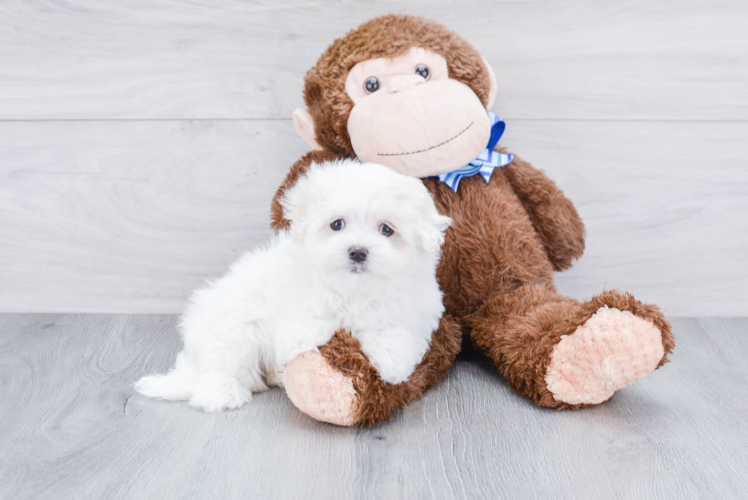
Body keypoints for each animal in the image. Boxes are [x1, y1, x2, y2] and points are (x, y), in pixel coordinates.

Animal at [136, 161, 450, 414]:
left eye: (387, 229)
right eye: (337, 224)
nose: (358, 251)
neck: (355, 290)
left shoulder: (417, 312)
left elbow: (399, 335)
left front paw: (391, 363)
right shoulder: (297, 318)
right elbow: (317, 327)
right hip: (232, 329)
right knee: (222, 367)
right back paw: (223, 394)